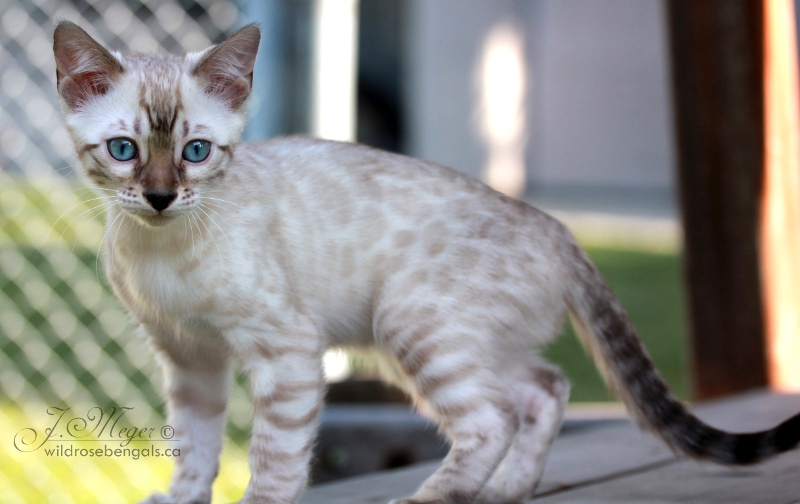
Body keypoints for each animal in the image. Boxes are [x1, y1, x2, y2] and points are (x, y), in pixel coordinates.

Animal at [54, 20, 800, 504]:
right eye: (123, 150)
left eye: (196, 152)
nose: (159, 197)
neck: (163, 250)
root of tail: (553, 224)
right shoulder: (190, 358)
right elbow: (195, 444)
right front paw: (180, 498)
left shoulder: (284, 351)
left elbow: (274, 460)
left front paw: (259, 499)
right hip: (457, 341)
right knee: (544, 387)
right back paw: (507, 490)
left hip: (411, 325)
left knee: (492, 418)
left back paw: (434, 497)